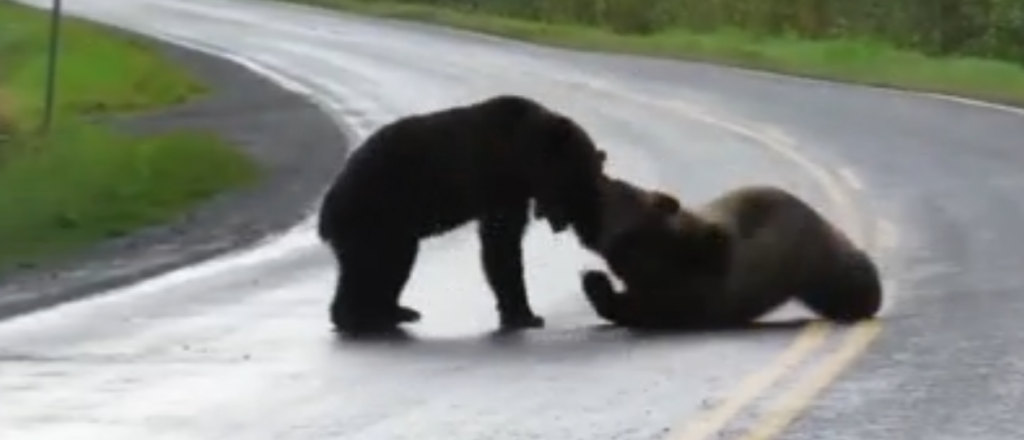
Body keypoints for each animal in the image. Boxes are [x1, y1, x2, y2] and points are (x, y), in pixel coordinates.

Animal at [317, 94, 606, 335]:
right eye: (578, 182)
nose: (572, 222)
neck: (523, 155)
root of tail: (326, 211)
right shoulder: (499, 182)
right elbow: (502, 244)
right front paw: (526, 315)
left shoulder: (512, 191)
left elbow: (501, 243)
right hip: (378, 213)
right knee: (377, 263)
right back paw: (362, 318)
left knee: (380, 267)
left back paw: (391, 312)